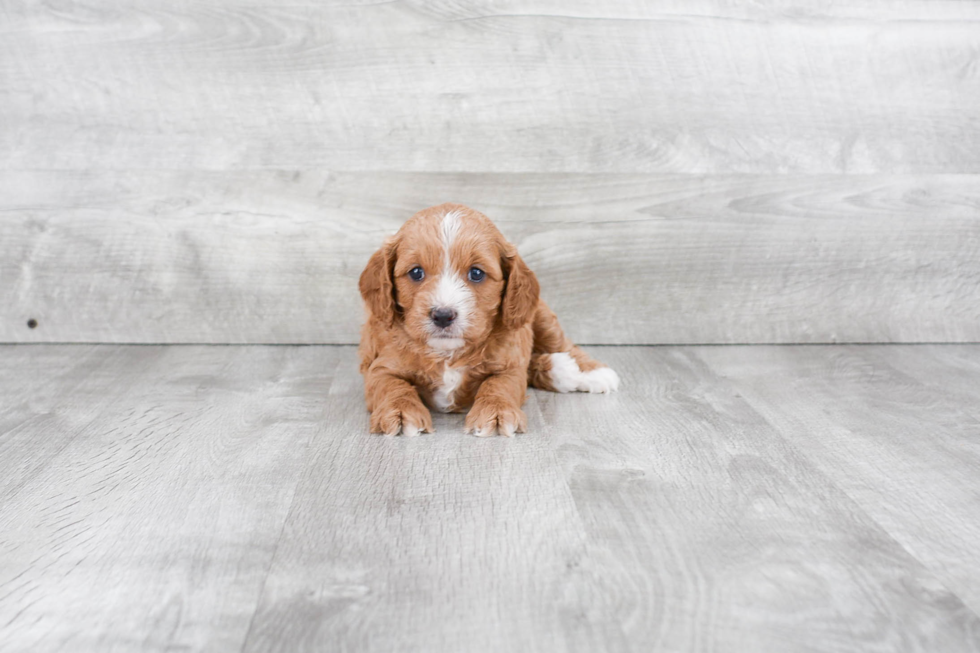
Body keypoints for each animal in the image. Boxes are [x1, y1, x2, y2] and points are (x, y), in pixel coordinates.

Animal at [358, 202, 620, 438]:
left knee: (560, 344)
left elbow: (499, 384)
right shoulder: (380, 367)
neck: (447, 353)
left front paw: (496, 412)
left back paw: (590, 372)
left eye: (476, 273)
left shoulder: (509, 365)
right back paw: (559, 369)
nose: (443, 315)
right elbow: (392, 386)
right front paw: (400, 412)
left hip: (540, 316)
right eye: (415, 272)